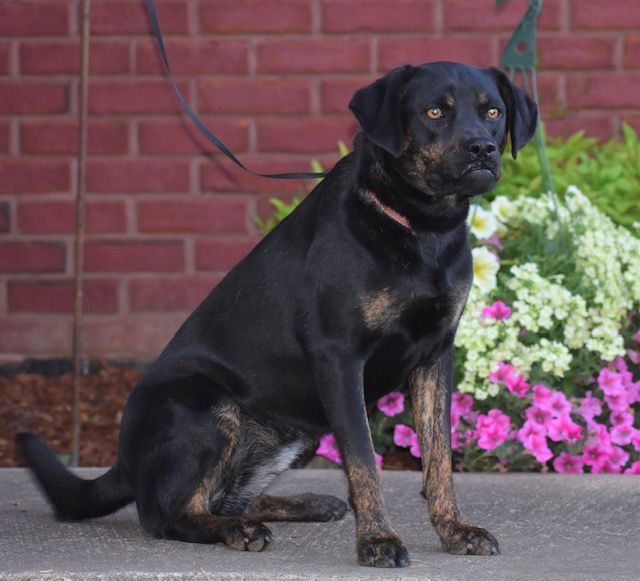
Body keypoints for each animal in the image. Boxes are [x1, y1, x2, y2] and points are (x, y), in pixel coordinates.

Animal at [17, 62, 536, 568]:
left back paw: (304, 504)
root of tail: (125, 461)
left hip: (301, 424)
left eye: (492, 112)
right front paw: (378, 539)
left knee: (228, 495)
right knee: (170, 514)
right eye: (434, 112)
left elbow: (439, 457)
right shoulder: (340, 358)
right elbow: (365, 461)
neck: (422, 227)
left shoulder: (435, 356)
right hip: (205, 406)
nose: (483, 148)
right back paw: (238, 530)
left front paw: (455, 530)